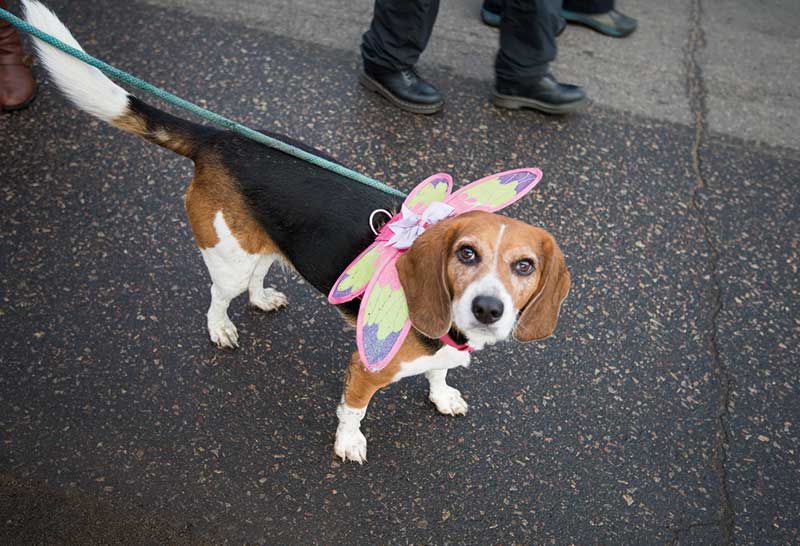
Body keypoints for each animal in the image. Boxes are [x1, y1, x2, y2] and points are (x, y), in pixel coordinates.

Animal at [26, 0, 568, 462]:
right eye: (466, 254)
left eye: (524, 266)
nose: (488, 309)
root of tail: (218, 137)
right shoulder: (366, 370)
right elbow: (354, 411)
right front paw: (349, 443)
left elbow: (437, 372)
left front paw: (443, 395)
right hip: (227, 252)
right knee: (219, 296)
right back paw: (221, 327)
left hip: (263, 239)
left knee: (258, 274)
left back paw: (262, 298)